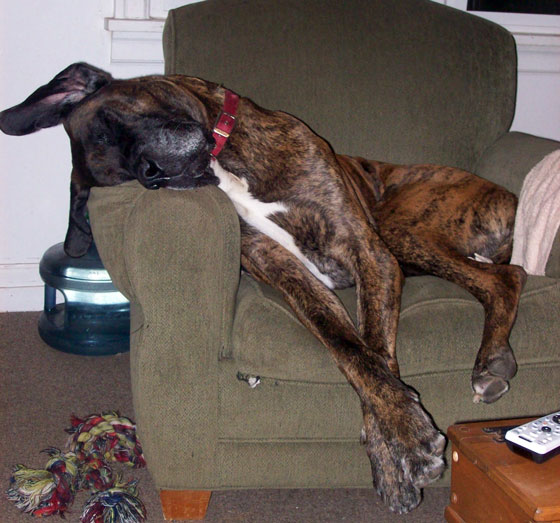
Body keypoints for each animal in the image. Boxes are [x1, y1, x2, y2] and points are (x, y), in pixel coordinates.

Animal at [0, 62, 528, 516]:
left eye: (109, 122)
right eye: (126, 179)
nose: (152, 173)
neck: (226, 160)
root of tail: (508, 195)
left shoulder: (368, 253)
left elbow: (375, 351)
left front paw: (399, 446)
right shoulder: (286, 271)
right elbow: (350, 348)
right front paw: (394, 450)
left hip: (402, 228)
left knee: (508, 276)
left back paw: (491, 361)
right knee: (504, 276)